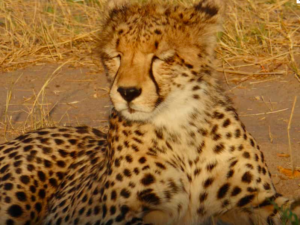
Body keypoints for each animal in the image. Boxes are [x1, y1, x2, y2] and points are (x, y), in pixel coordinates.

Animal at [0, 0, 300, 224]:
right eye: (116, 55)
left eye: (161, 57)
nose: (127, 92)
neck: (180, 124)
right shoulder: (122, 215)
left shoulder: (258, 199)